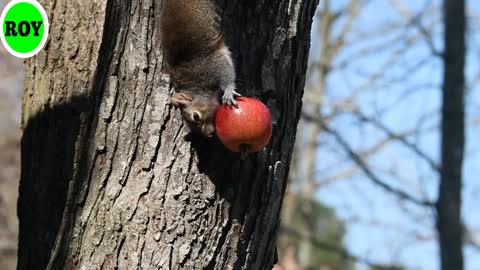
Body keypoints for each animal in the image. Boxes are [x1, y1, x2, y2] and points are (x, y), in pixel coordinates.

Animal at [159, 0, 240, 137]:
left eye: (195, 116)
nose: (209, 134)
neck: (196, 87)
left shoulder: (209, 67)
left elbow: (226, 73)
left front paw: (228, 92)